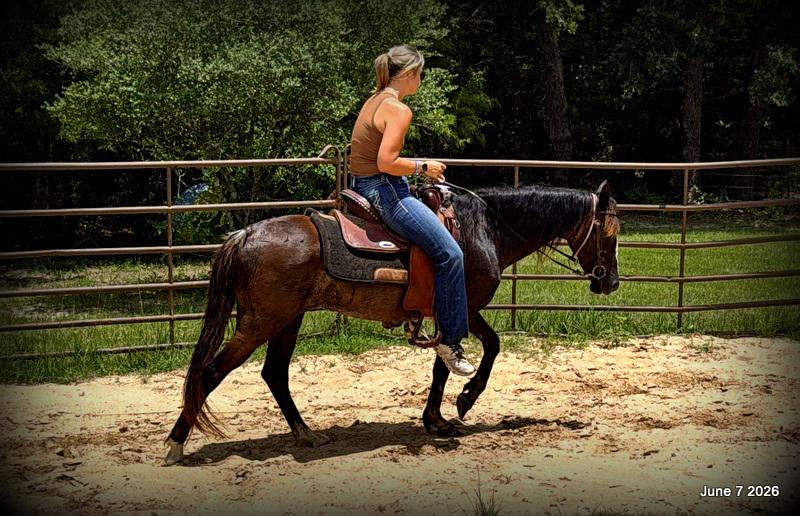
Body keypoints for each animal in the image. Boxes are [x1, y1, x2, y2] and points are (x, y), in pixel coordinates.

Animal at [164, 181, 620, 465]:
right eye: (610, 234)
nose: (611, 282)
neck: (484, 228)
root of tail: (244, 235)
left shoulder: (450, 313)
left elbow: (443, 365)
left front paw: (436, 419)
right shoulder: (465, 307)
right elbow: (486, 348)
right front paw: (464, 400)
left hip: (287, 321)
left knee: (274, 373)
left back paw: (306, 434)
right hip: (259, 323)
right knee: (210, 373)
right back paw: (175, 444)